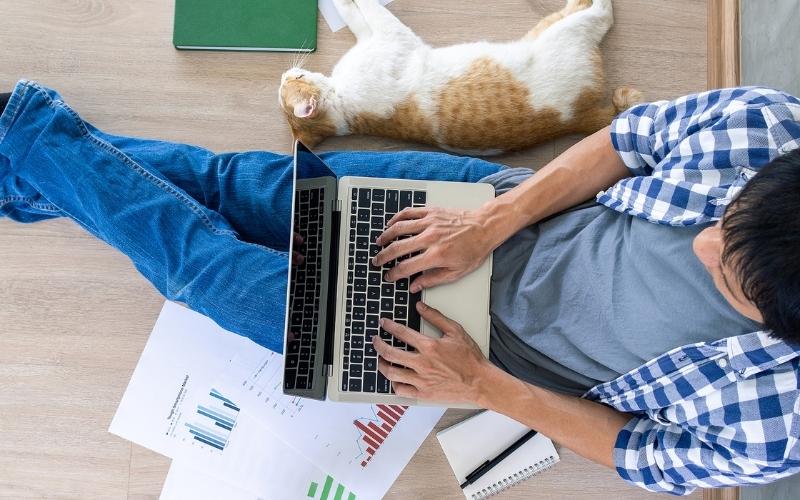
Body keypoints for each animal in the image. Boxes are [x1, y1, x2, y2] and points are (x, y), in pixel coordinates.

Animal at [278, 0, 640, 155]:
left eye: (292, 79)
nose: (284, 74)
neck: (343, 107)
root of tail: (578, 118)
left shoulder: (377, 35)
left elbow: (357, 12)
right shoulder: (391, 37)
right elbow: (364, 9)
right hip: (561, 32)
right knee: (600, 13)